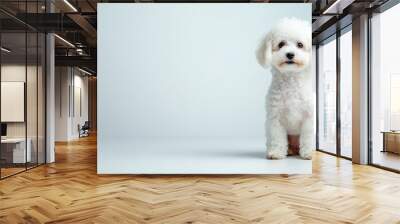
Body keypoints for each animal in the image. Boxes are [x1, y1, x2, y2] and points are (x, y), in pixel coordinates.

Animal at [256, 18, 316, 160]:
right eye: (281, 44)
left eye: (300, 45)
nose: (290, 54)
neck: (290, 78)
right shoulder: (275, 118)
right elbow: (277, 137)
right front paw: (277, 153)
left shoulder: (308, 117)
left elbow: (307, 137)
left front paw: (308, 153)